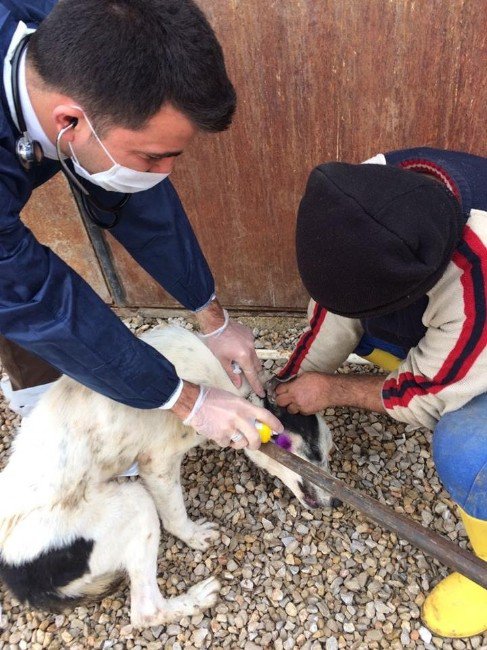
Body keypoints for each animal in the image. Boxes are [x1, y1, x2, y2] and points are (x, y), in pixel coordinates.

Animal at [0, 326, 336, 624]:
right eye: (315, 452)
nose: (335, 503)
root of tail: (18, 579)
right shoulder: (158, 463)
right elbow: (175, 515)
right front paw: (193, 535)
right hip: (133, 504)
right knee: (146, 612)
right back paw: (197, 598)